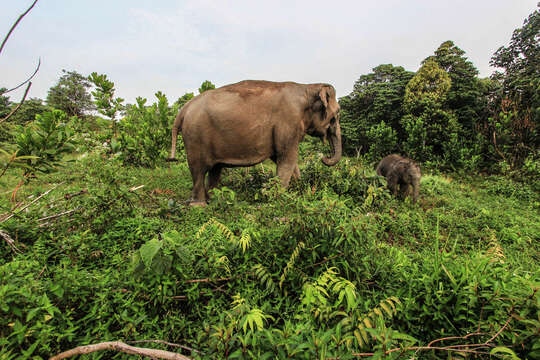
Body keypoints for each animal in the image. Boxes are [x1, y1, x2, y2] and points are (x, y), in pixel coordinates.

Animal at [169, 81, 342, 205]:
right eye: (338, 113)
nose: (324, 157)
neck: (307, 88)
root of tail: (184, 108)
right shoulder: (288, 122)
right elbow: (287, 157)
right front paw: (279, 199)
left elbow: (282, 158)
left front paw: (298, 191)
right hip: (195, 137)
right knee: (198, 169)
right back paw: (199, 205)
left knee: (215, 170)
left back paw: (213, 199)